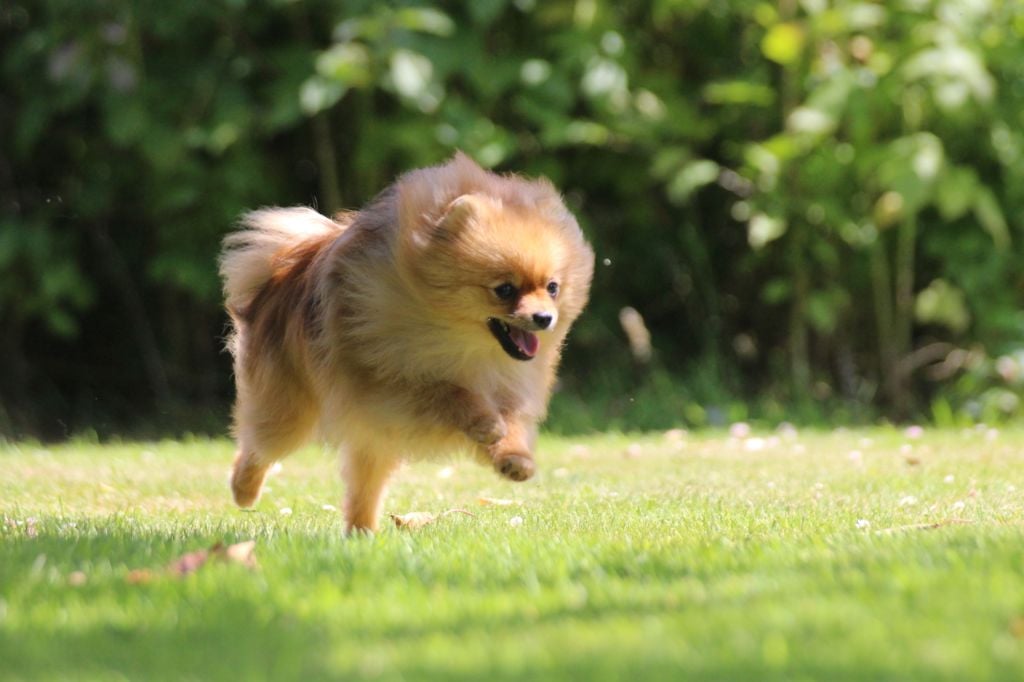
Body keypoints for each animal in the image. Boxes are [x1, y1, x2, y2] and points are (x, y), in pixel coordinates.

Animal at [220, 153, 598, 532]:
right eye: (504, 289)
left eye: (552, 287)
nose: (544, 318)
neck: (464, 343)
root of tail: (282, 270)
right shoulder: (388, 384)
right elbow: (447, 393)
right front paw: (483, 421)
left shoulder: (508, 385)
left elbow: (512, 421)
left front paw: (514, 456)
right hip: (290, 407)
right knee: (259, 446)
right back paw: (243, 490)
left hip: (370, 436)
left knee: (364, 484)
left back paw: (361, 532)